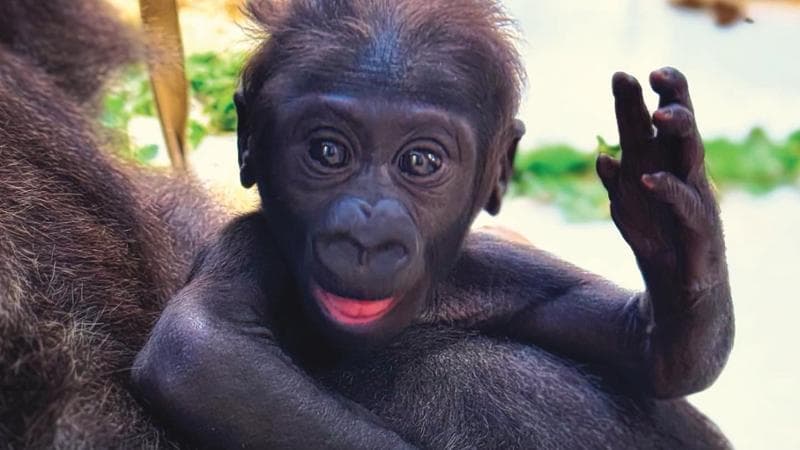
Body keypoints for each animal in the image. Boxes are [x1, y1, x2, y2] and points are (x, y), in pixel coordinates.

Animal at [132, 0, 733, 448]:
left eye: (420, 162)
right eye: (327, 152)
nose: (367, 236)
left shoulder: (497, 272)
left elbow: (648, 351)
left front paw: (671, 237)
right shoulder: (250, 243)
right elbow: (201, 351)